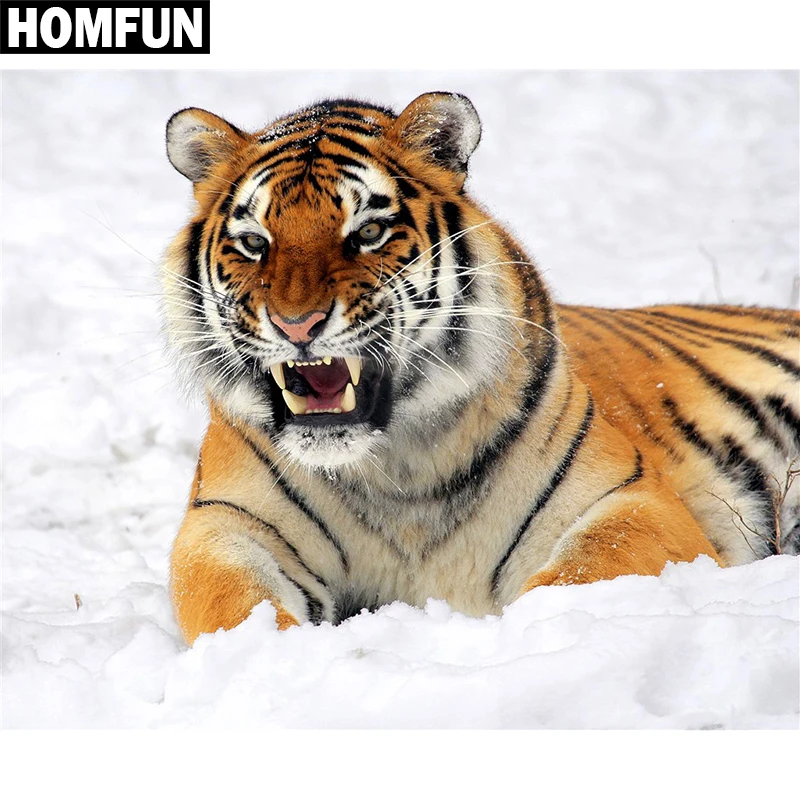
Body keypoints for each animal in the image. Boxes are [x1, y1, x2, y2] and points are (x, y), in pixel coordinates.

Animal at [161, 92, 800, 645]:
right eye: (254, 242)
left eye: (368, 232)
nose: (297, 325)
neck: (395, 469)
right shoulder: (224, 524)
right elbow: (233, 604)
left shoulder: (631, 499)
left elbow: (580, 573)